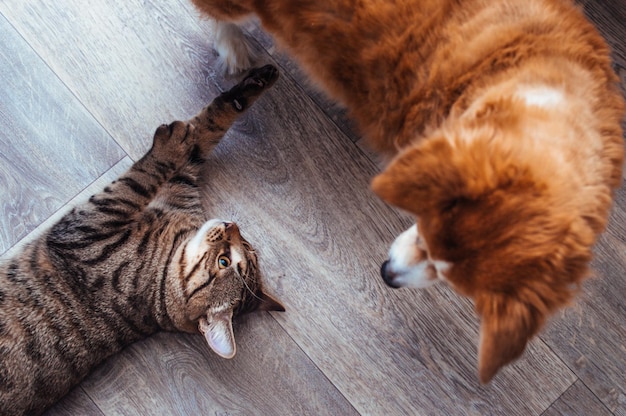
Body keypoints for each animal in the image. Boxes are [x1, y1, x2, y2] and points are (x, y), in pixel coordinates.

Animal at [0, 65, 282, 416]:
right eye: (243, 248)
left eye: (225, 261)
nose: (232, 225)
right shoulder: (180, 188)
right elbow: (210, 126)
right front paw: (255, 82)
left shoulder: (90, 227)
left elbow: (141, 178)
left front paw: (171, 142)